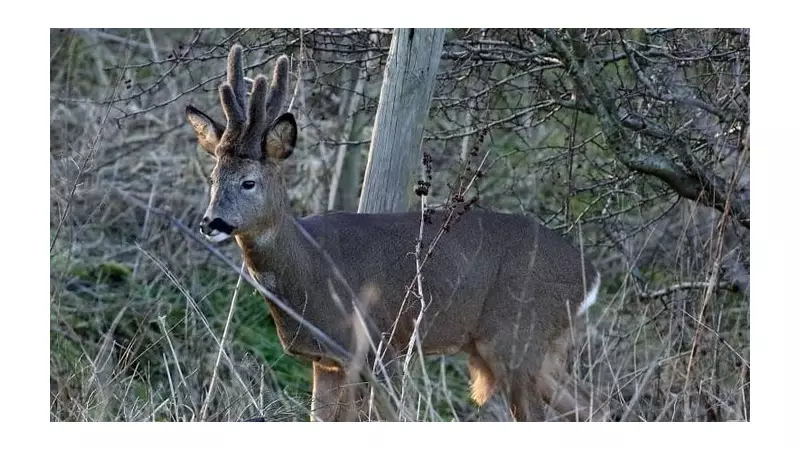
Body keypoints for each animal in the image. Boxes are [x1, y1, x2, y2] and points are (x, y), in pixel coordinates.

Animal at [185, 44, 609, 422]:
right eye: (213, 177)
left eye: (249, 182)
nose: (210, 223)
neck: (310, 269)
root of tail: (591, 276)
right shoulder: (327, 361)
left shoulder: (379, 344)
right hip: (537, 349)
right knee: (597, 406)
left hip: (517, 336)